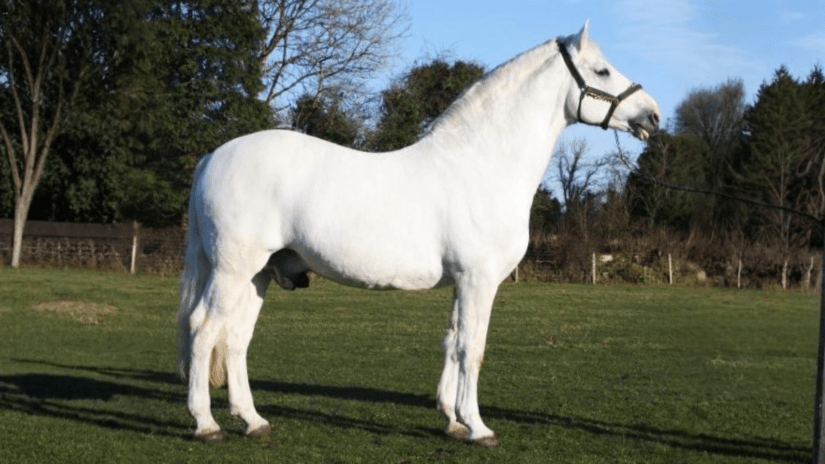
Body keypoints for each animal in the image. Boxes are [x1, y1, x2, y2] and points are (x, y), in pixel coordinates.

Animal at [177, 21, 660, 447]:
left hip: (258, 273)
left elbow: (452, 341)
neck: (482, 166)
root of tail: (213, 157)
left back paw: (253, 421)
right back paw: (206, 424)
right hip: (233, 269)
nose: (653, 115)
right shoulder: (479, 280)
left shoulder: (463, 282)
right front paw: (478, 427)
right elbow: (473, 348)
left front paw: (452, 419)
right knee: (204, 328)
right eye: (602, 70)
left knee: (236, 339)